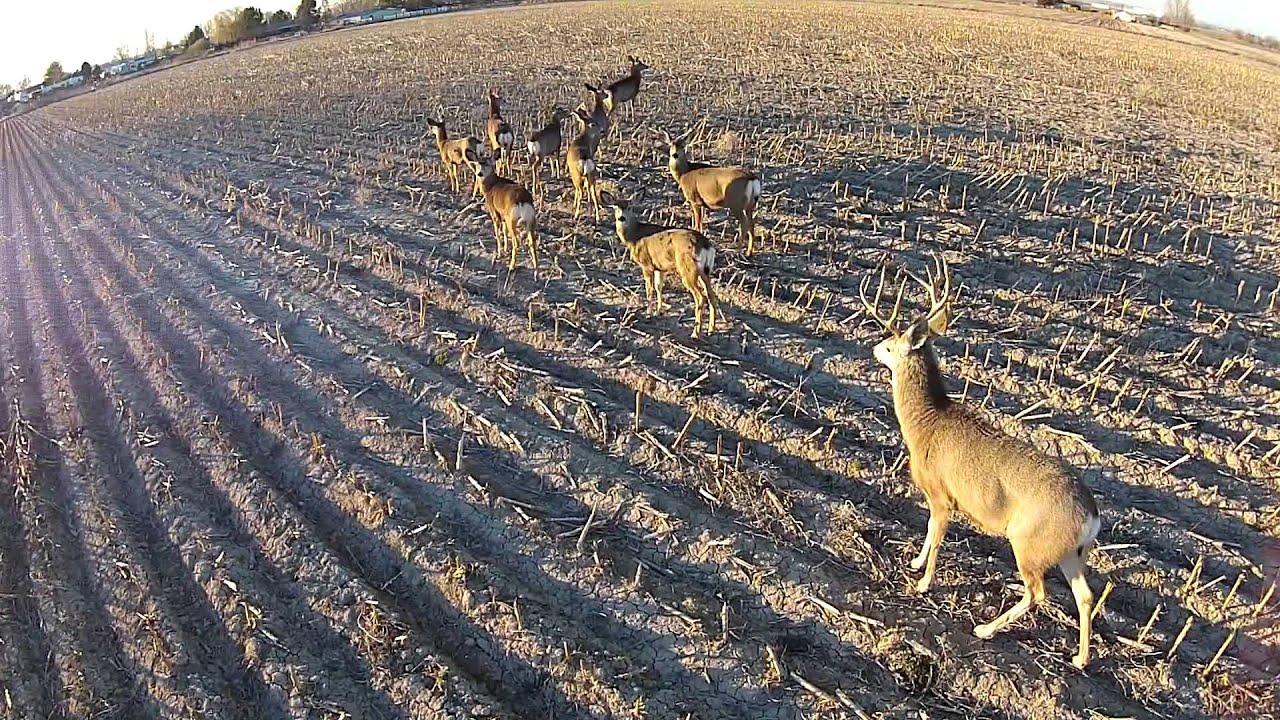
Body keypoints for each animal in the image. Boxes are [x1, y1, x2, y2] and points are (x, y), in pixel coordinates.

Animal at [606, 194, 718, 338]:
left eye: (630, 206)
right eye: (615, 207)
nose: (621, 218)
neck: (634, 237)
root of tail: (706, 245)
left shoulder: (646, 264)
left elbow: (649, 289)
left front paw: (648, 314)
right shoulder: (660, 267)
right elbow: (659, 286)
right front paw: (659, 311)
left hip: (688, 269)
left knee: (700, 297)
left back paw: (695, 333)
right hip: (704, 271)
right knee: (711, 295)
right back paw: (710, 330)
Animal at [860, 254, 1101, 670]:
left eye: (891, 346)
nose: (875, 348)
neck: (927, 425)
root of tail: (1091, 516)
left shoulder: (943, 494)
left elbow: (937, 535)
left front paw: (923, 582)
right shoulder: (936, 498)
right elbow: (928, 530)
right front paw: (915, 564)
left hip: (1029, 542)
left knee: (1038, 593)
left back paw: (985, 629)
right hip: (1070, 551)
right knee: (1084, 596)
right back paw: (1080, 659)